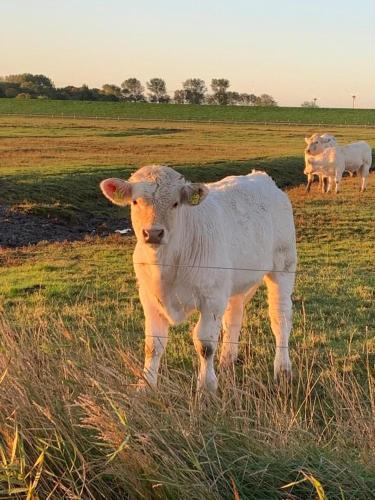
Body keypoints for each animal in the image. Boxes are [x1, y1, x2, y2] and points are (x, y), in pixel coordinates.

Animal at [101, 166, 298, 392]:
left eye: (175, 203)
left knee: (280, 317)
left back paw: (283, 369)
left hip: (283, 265)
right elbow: (153, 345)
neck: (167, 264)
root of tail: (262, 177)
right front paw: (146, 386)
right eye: (135, 201)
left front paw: (206, 386)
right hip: (234, 281)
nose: (153, 233)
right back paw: (227, 362)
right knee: (234, 318)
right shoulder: (149, 297)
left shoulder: (212, 299)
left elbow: (205, 344)